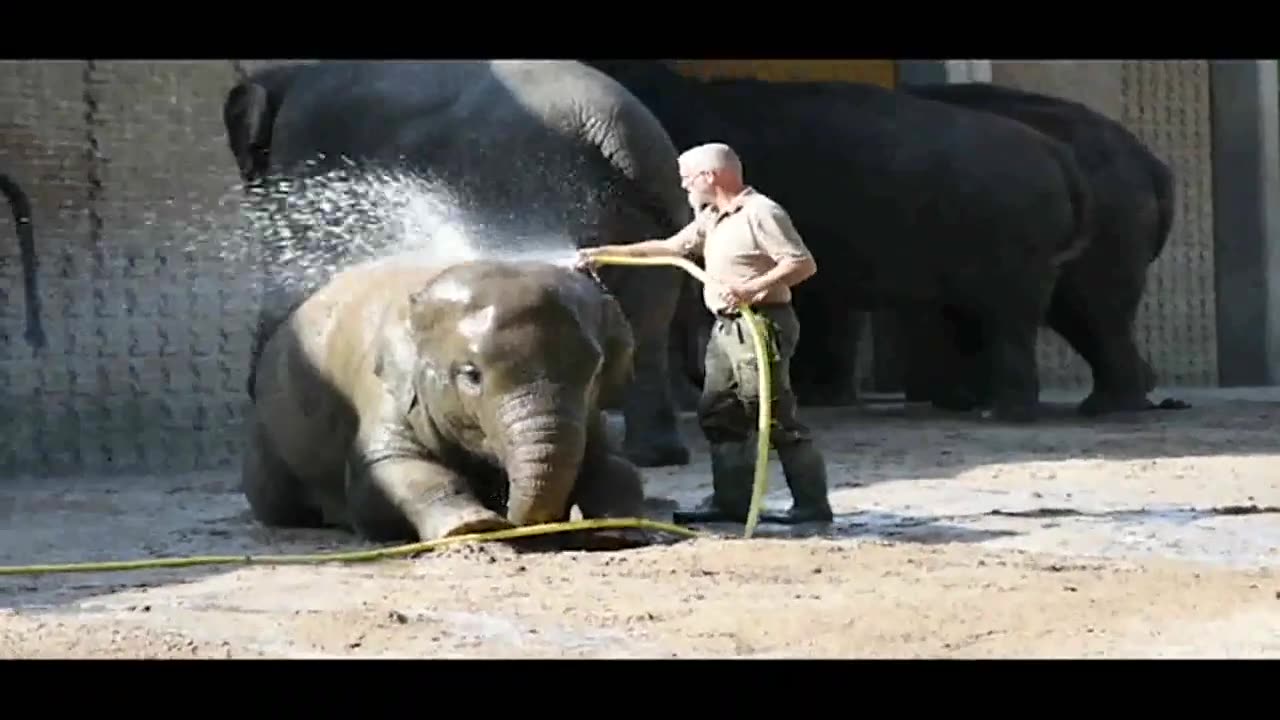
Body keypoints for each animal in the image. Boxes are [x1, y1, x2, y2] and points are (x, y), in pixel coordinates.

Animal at [225, 61, 696, 468]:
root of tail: (620, 136)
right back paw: (657, 454)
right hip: (641, 215)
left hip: (532, 188)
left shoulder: (302, 147)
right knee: (650, 319)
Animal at [239, 254, 645, 540]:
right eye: (471, 375)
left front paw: (618, 530)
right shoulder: (388, 392)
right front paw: (473, 527)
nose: (513, 517)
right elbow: (390, 470)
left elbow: (616, 465)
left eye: (595, 369)